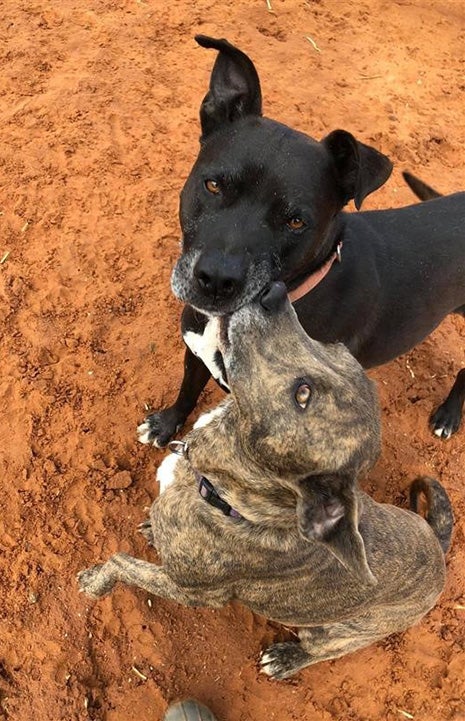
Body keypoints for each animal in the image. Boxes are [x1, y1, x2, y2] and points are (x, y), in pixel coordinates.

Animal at [78, 282, 452, 680]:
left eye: (302, 394)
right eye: (333, 347)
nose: (275, 292)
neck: (227, 497)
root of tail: (438, 546)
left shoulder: (194, 593)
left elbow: (120, 562)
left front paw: (94, 581)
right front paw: (151, 531)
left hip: (338, 632)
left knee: (319, 649)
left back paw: (287, 658)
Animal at [137, 38, 464, 450]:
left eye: (295, 221)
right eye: (213, 185)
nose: (215, 280)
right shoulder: (196, 350)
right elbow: (188, 388)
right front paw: (167, 423)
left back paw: (449, 414)